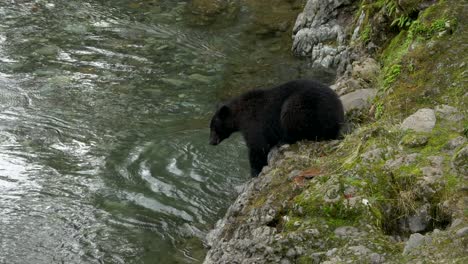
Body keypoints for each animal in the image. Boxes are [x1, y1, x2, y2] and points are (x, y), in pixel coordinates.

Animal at [208, 79, 344, 177]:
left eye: (213, 127)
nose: (211, 142)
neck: (240, 115)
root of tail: (338, 114)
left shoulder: (254, 122)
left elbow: (258, 147)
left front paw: (255, 172)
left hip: (302, 105)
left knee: (291, 115)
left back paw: (283, 140)